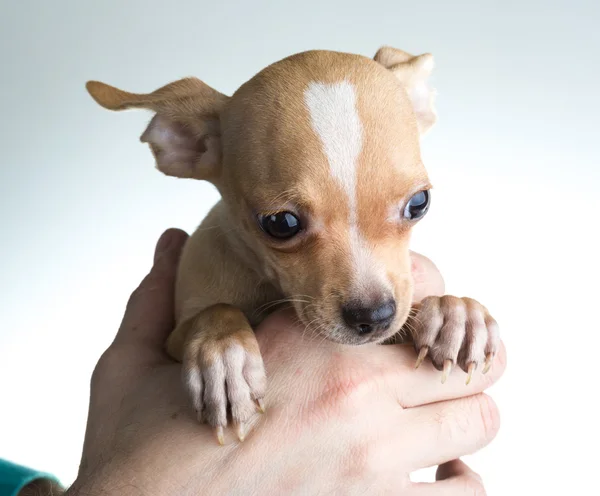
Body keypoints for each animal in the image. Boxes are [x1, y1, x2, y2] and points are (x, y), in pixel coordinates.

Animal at [86, 46, 500, 446]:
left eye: (419, 203)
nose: (375, 316)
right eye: (280, 224)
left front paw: (455, 312)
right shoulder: (172, 338)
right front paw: (224, 360)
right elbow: (216, 311)